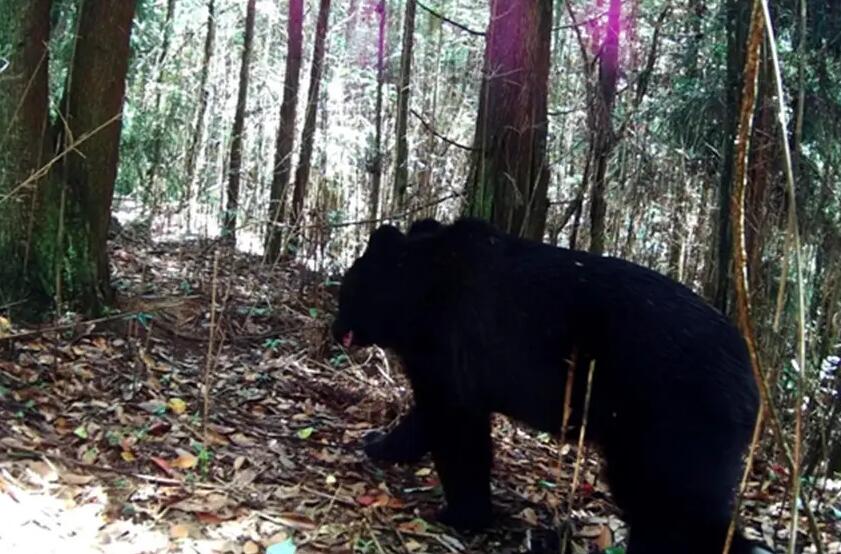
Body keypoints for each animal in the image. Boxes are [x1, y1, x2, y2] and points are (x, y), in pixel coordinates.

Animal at [332, 218, 764, 548]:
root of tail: (752, 387)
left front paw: (461, 513)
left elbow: (457, 431)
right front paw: (379, 443)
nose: (336, 330)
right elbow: (427, 417)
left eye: (344, 291)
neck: (421, 292)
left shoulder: (450, 351)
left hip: (676, 423)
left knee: (673, 507)